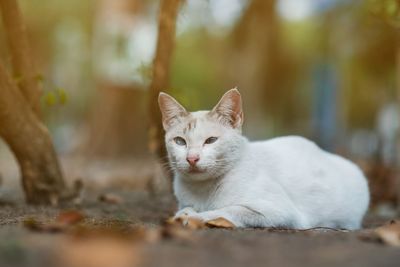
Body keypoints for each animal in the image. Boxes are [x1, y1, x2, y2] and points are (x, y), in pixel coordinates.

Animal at [158, 88, 370, 230]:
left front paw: (195, 217)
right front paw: (185, 213)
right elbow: (186, 208)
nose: (192, 158)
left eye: (210, 140)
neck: (202, 190)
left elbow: (227, 210)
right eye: (180, 141)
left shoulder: (281, 212)